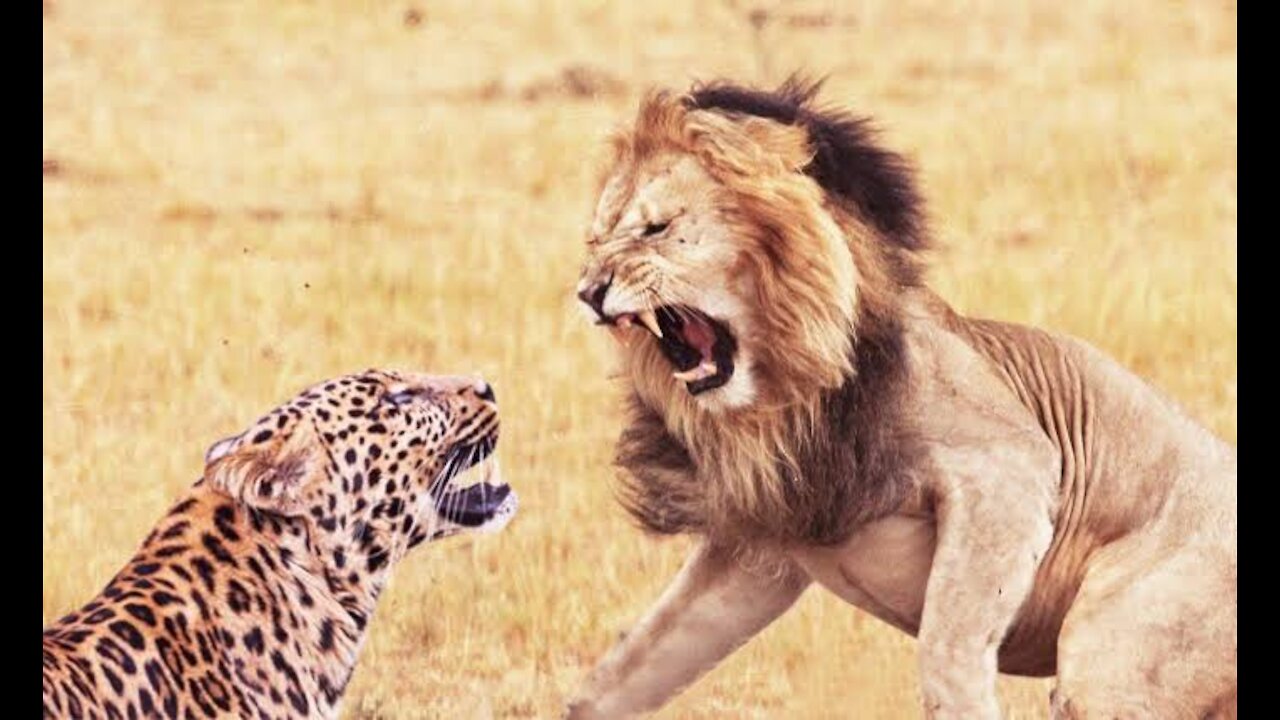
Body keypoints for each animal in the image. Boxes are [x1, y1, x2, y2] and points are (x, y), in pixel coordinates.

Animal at [567, 77, 1237, 719]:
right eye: (597, 240)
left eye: (656, 229)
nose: (588, 291)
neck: (785, 407)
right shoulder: (761, 549)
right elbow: (621, 675)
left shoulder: (1009, 465)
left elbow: (947, 651)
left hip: (1112, 660)